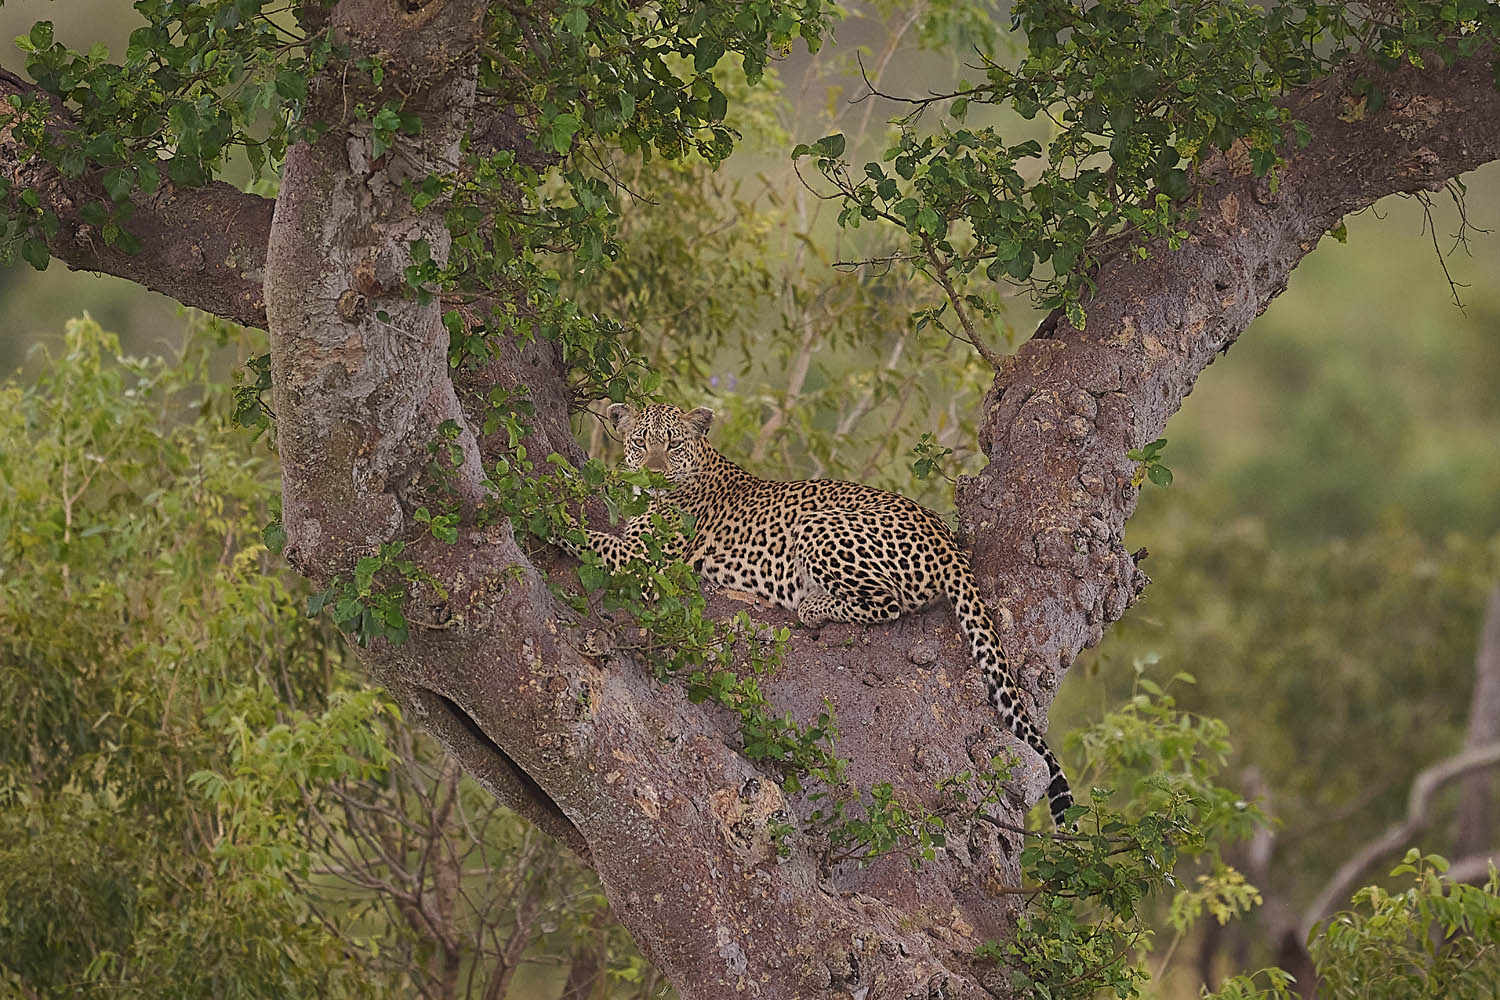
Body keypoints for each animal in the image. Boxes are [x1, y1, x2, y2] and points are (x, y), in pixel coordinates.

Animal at [579, 401, 1073, 828]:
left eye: (674, 444)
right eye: (640, 441)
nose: (654, 472)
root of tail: (946, 537)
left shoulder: (646, 561)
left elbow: (589, 538)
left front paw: (560, 510)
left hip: (822, 527)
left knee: (886, 601)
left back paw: (811, 605)